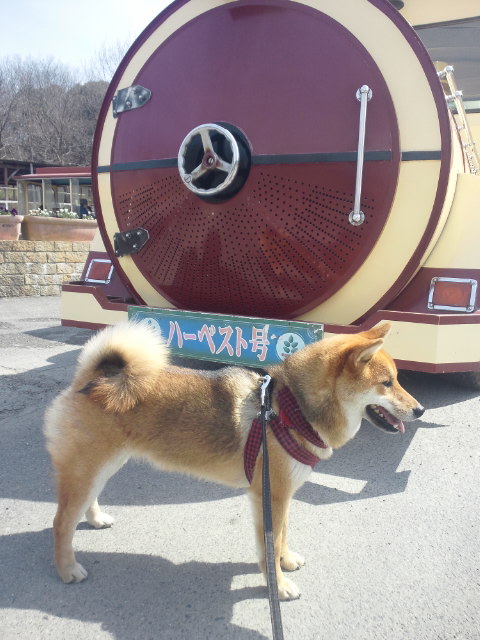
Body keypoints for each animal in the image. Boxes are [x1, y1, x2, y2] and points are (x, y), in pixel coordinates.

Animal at [44, 320, 424, 600]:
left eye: (397, 380)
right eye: (387, 383)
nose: (420, 410)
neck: (290, 409)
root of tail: (91, 378)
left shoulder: (282, 495)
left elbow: (282, 536)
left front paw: (286, 561)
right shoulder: (270, 495)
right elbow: (269, 546)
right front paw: (279, 587)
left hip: (104, 465)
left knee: (88, 500)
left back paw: (95, 519)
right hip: (87, 468)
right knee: (61, 523)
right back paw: (67, 569)